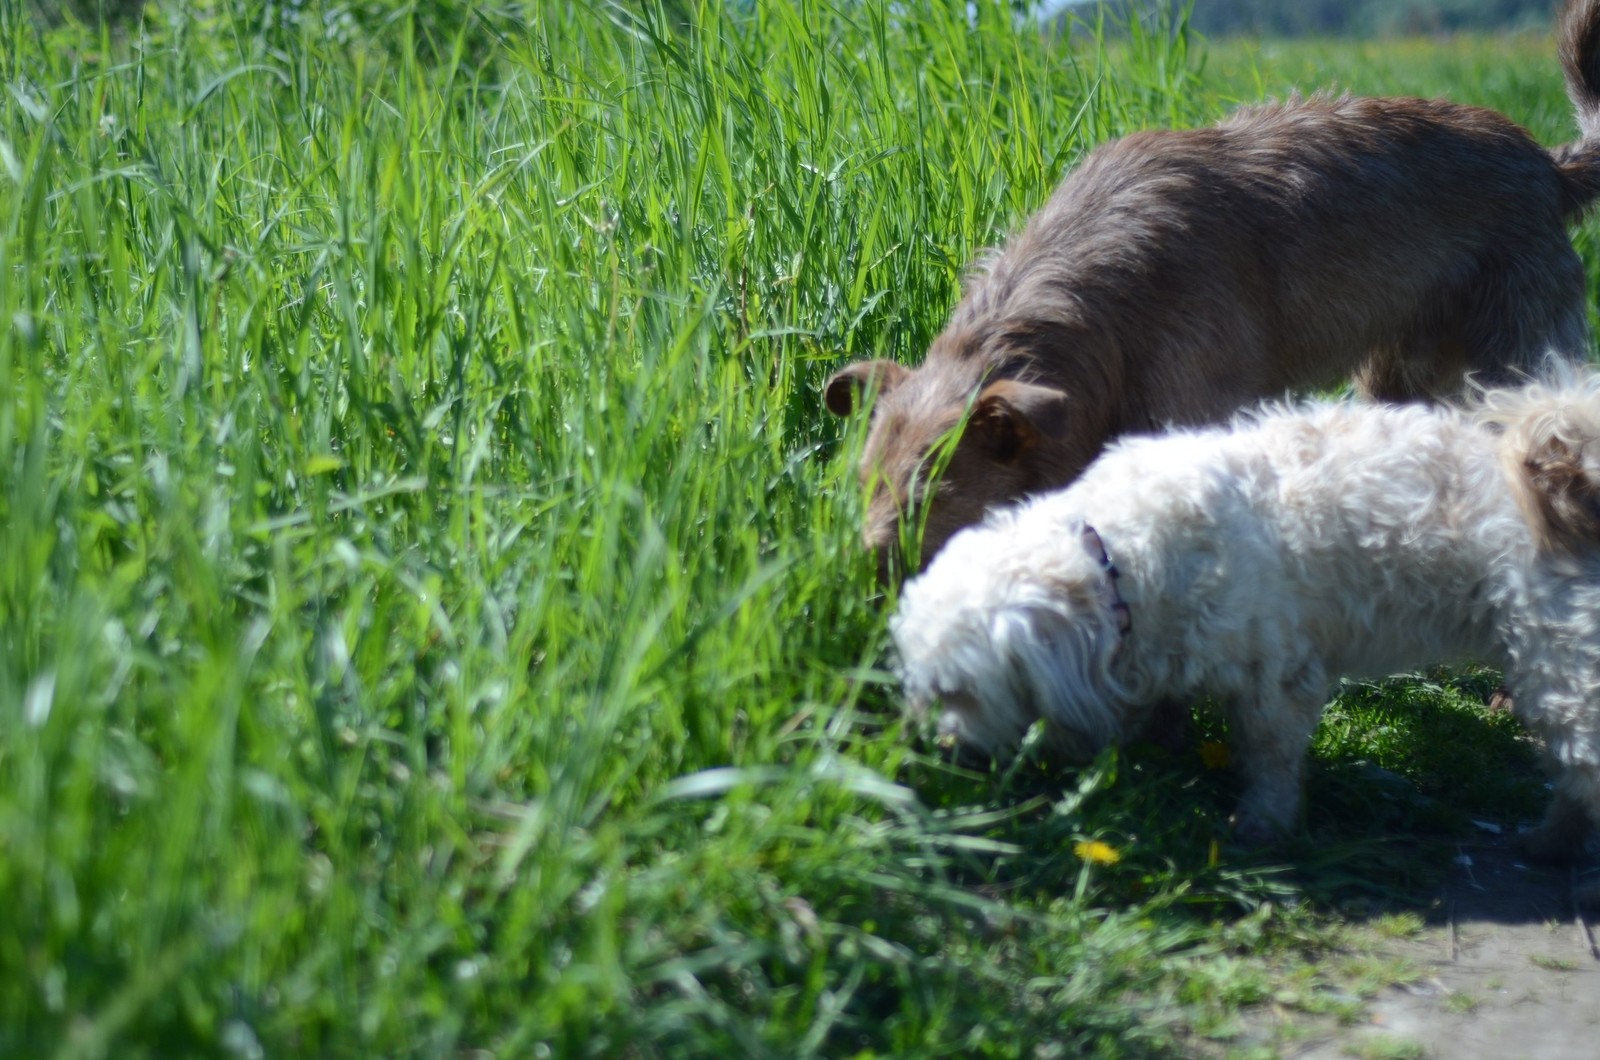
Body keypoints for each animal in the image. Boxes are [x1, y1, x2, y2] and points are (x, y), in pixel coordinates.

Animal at [832, 0, 1600, 576]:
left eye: (930, 500)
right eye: (864, 482)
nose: (855, 585)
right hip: (1397, 375)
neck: (1092, 310)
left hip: (1520, 367)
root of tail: (1546, 165)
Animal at [896, 373, 1600, 871]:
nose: (933, 750)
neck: (1115, 554)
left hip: (1564, 671)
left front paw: (1261, 828)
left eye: (959, 692)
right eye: (917, 688)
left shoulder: (1277, 675)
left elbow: (1269, 758)